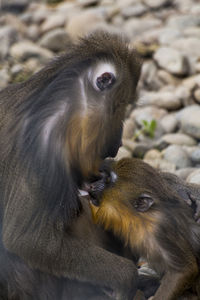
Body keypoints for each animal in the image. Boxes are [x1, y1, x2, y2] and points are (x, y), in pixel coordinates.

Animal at [88, 158, 200, 298]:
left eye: (108, 181)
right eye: (104, 177)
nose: (92, 186)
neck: (143, 218)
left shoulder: (162, 229)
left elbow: (184, 269)